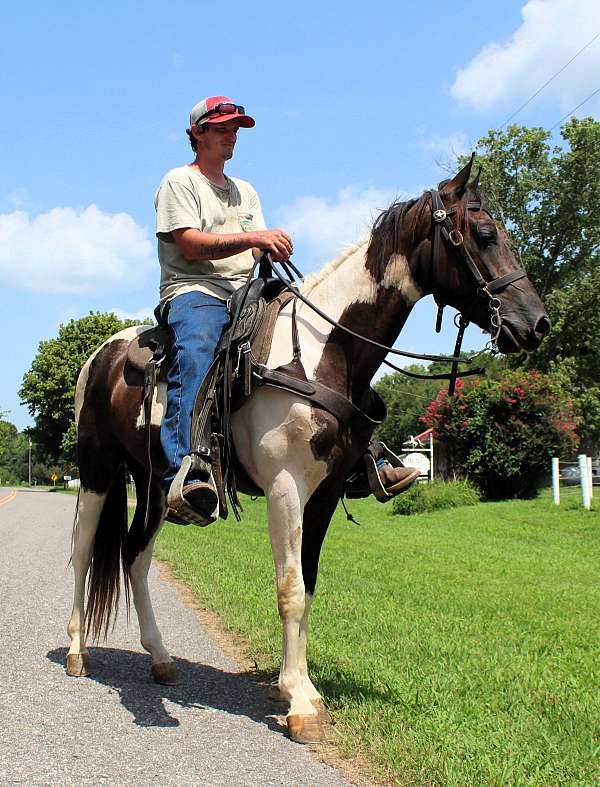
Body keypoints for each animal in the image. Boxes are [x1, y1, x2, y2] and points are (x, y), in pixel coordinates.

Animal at [66, 157, 550, 744]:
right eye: (483, 234)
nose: (537, 324)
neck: (324, 351)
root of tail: (101, 353)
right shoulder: (285, 489)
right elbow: (290, 589)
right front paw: (297, 703)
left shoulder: (324, 494)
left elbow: (310, 586)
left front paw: (302, 688)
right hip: (97, 469)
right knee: (83, 552)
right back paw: (76, 651)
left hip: (156, 484)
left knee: (136, 556)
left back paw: (160, 659)